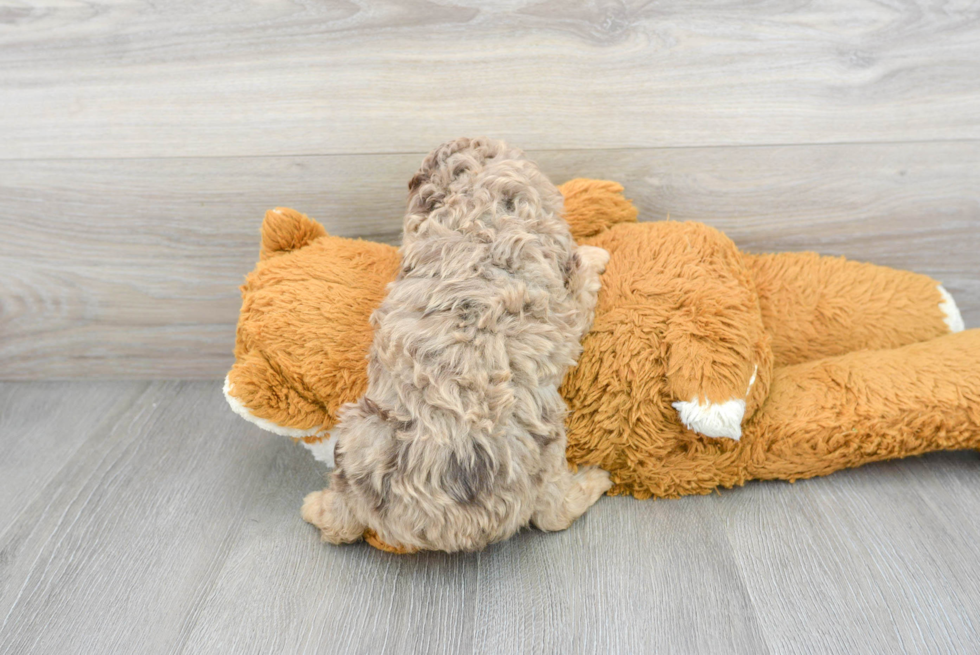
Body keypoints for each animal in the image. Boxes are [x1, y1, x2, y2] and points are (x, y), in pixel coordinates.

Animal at [302, 138, 612, 552]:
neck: (477, 218)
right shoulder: (567, 307)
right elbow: (581, 277)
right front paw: (595, 255)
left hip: (359, 433)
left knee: (340, 519)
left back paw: (315, 507)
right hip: (543, 449)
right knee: (552, 514)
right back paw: (596, 479)